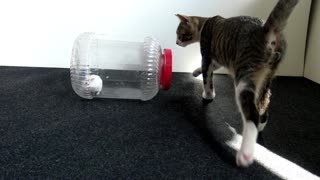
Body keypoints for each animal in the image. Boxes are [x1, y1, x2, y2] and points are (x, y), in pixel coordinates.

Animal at [175, 0, 298, 167]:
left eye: (178, 34)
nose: (176, 42)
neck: (206, 23)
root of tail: (264, 28)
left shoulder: (206, 54)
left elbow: (207, 78)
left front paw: (208, 94)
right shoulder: (217, 59)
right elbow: (209, 69)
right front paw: (195, 72)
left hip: (245, 76)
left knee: (251, 113)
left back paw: (245, 153)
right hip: (266, 78)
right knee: (264, 103)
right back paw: (261, 125)